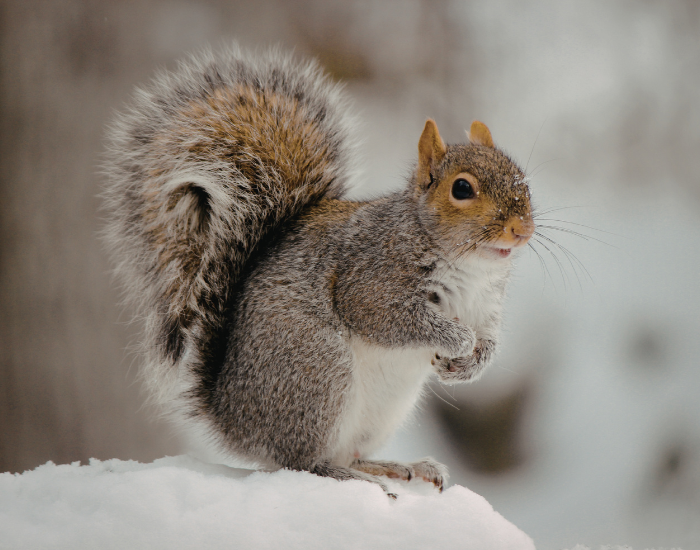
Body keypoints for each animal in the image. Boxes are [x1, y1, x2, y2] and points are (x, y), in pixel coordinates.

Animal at [103, 45, 535, 497]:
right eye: (462, 188)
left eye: (522, 178)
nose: (522, 229)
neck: (469, 265)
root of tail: (234, 421)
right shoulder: (370, 280)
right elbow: (392, 319)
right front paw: (457, 340)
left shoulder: (485, 302)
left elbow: (489, 339)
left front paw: (471, 364)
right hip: (319, 370)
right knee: (303, 461)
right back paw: (352, 476)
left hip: (378, 409)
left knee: (345, 452)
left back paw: (399, 466)